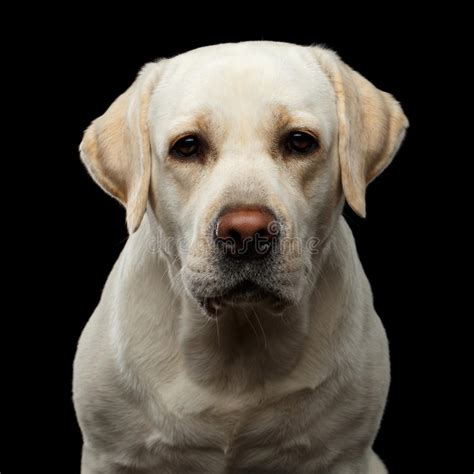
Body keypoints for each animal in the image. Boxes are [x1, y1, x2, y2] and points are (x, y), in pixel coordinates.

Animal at [73, 42, 408, 472]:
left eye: (300, 142)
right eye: (187, 146)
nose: (246, 233)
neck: (238, 340)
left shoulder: (344, 455)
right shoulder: (109, 454)